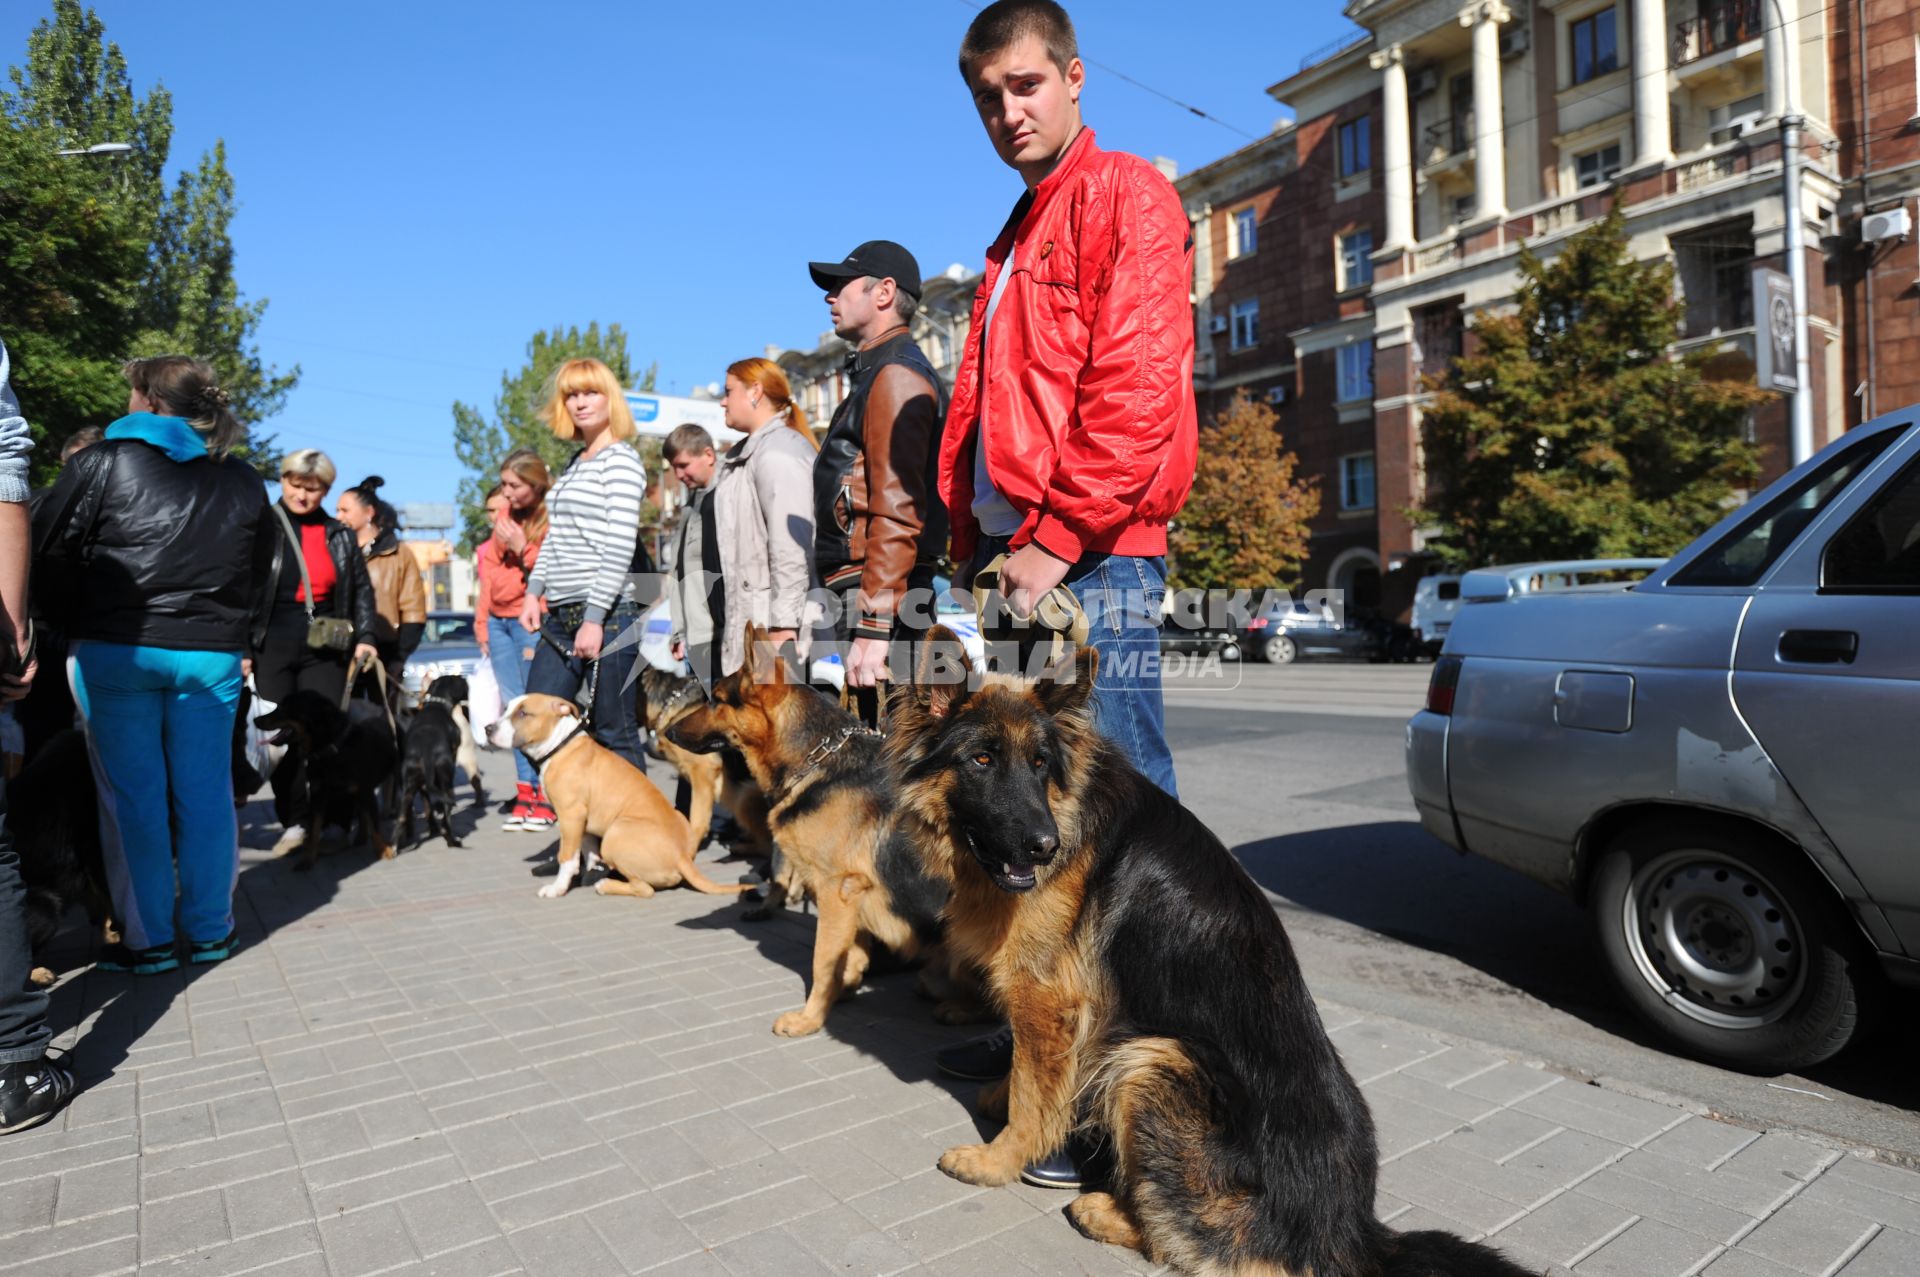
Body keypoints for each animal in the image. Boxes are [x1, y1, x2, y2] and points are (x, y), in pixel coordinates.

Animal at [255, 691, 397, 871]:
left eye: (284, 708)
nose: (255, 720)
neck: (330, 752)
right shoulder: (318, 794)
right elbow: (314, 830)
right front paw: (307, 859)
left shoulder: (366, 790)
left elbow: (375, 824)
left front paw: (384, 850)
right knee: (361, 812)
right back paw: (361, 837)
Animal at [487, 698, 748, 894]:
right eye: (506, 710)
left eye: (523, 713)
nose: (488, 729)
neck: (560, 746)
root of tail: (683, 857)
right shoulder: (583, 821)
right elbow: (589, 849)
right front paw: (591, 870)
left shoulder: (571, 815)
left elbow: (567, 857)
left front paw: (557, 888)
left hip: (616, 832)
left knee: (645, 889)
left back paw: (607, 884)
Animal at [668, 626, 983, 1036]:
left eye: (716, 700)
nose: (668, 731)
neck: (817, 760)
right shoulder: (854, 897)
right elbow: (848, 957)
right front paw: (843, 990)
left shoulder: (837, 892)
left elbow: (822, 960)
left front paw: (809, 1018)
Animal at [887, 629, 1528, 1275]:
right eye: (982, 760)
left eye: (1040, 764)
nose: (1046, 847)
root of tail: (1350, 1232)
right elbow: (1029, 1075)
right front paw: (1000, 1098)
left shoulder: (1050, 1001)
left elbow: (1032, 1096)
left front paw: (997, 1160)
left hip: (1153, 1059)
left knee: (1192, 1240)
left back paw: (1105, 1210)